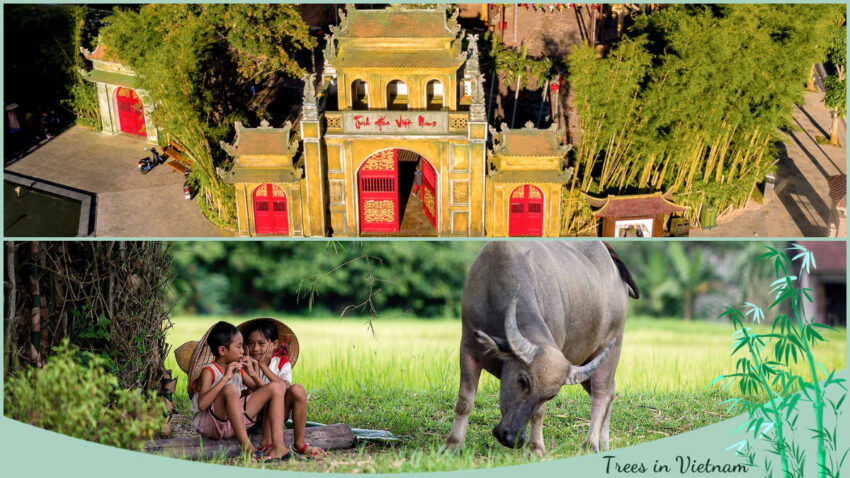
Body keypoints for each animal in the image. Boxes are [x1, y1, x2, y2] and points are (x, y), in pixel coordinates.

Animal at [444, 243, 636, 456]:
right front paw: (453, 444)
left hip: (611, 348)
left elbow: (539, 412)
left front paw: (535, 447)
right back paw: (604, 443)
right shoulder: (468, 348)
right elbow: (465, 402)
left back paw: (591, 443)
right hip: (588, 363)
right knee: (608, 392)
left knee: (602, 395)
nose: (511, 439)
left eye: (550, 395)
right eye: (522, 380)